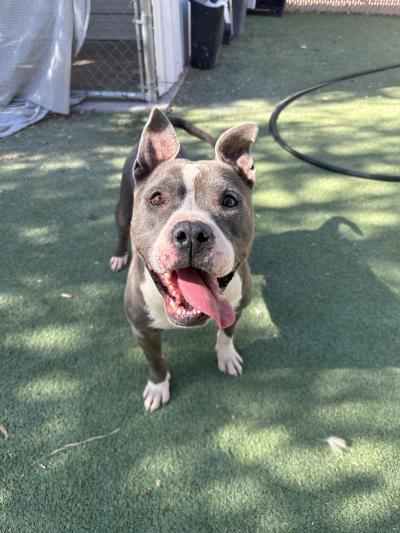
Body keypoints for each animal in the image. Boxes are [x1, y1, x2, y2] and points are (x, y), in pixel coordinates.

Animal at [110, 109, 260, 412]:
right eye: (156, 199)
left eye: (229, 201)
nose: (191, 232)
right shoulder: (142, 330)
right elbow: (156, 361)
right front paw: (158, 387)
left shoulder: (236, 307)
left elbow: (226, 333)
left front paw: (227, 356)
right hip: (122, 207)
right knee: (120, 228)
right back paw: (119, 256)